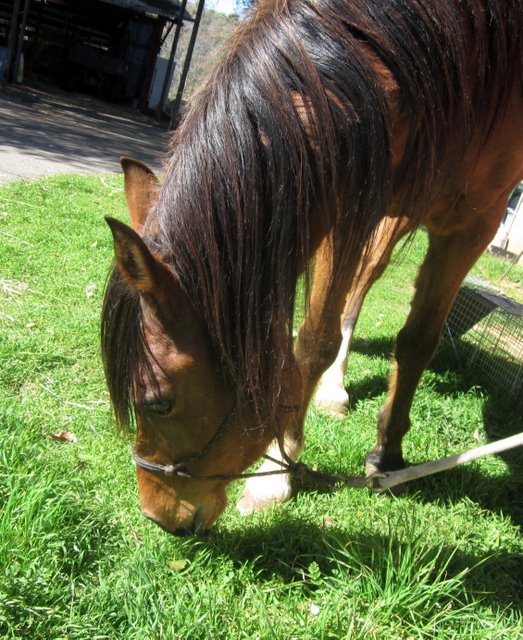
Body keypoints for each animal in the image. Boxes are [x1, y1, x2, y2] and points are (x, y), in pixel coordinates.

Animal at [102, 0, 523, 535]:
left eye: (158, 402)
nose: (157, 516)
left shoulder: (476, 223)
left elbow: (415, 342)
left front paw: (385, 455)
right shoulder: (340, 201)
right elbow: (316, 339)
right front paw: (278, 470)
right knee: (361, 286)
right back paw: (334, 388)